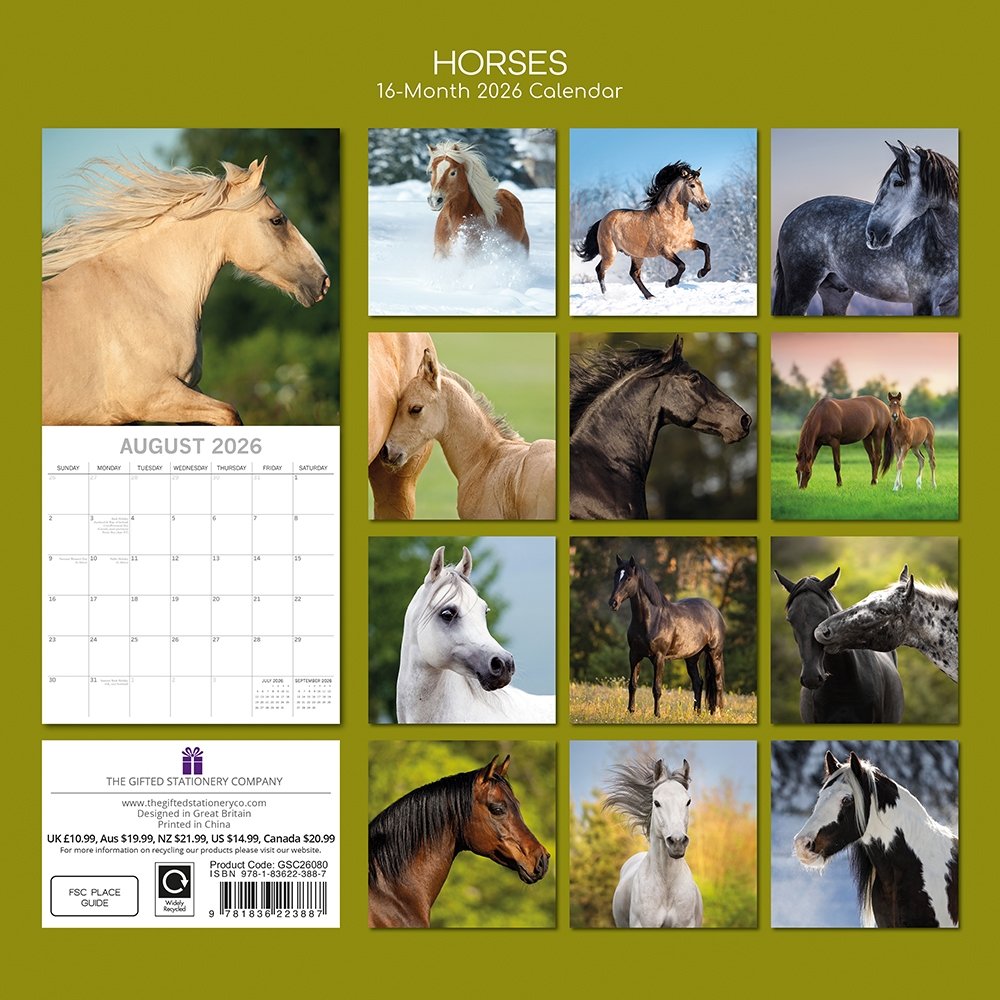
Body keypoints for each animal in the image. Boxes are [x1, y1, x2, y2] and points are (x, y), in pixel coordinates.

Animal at [42, 157, 329, 425]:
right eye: (276, 220)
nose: (323, 282)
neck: (151, 292)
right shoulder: (154, 397)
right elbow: (230, 413)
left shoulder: (184, 392)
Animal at [575, 162, 711, 300]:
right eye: (692, 185)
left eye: (702, 184)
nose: (706, 205)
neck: (671, 218)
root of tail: (603, 220)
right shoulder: (664, 249)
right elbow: (682, 265)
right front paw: (669, 282)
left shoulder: (686, 242)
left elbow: (706, 247)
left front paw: (701, 272)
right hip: (610, 253)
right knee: (600, 270)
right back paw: (607, 296)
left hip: (636, 255)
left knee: (634, 274)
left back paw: (650, 296)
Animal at [609, 555, 726, 717]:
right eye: (615, 576)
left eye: (628, 578)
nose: (613, 603)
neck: (651, 618)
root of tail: (714, 610)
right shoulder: (635, 655)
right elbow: (632, 684)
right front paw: (631, 711)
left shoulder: (659, 657)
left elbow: (657, 688)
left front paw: (657, 714)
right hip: (692, 657)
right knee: (698, 682)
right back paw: (696, 713)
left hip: (715, 654)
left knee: (717, 683)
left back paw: (716, 713)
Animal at [773, 141, 958, 316]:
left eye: (898, 182)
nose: (872, 234)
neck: (942, 244)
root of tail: (791, 216)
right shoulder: (922, 301)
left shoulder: (951, 303)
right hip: (801, 289)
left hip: (836, 293)